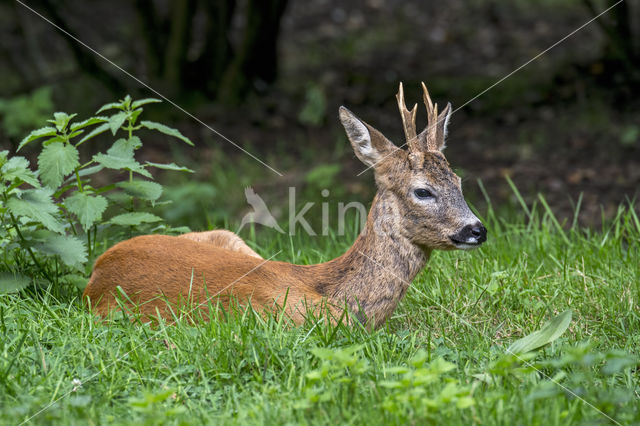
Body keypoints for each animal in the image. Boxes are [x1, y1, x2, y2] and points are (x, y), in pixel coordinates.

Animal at [84, 83, 484, 330]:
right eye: (423, 191)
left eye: (459, 182)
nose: (477, 229)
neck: (338, 299)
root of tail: (98, 269)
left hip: (227, 237)